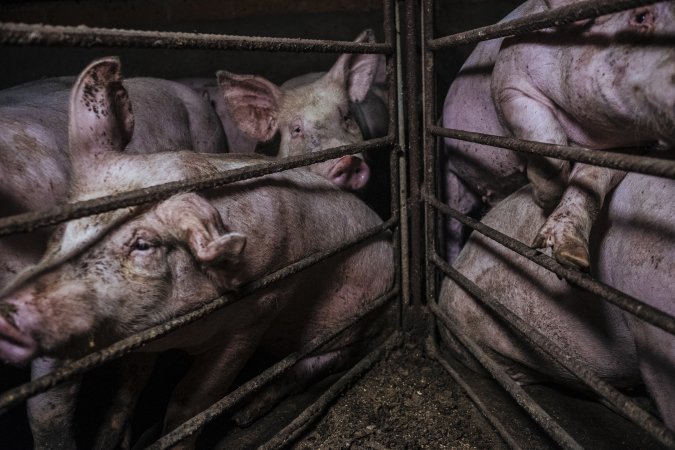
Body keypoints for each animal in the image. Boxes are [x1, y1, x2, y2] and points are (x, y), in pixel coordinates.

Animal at [0, 57, 394, 449]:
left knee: (308, 366)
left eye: (143, 245)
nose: (9, 310)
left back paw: (245, 413)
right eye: (62, 231)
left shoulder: (258, 311)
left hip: (354, 325)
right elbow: (130, 383)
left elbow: (189, 402)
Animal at [441, 0, 675, 267]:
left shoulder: (628, 148)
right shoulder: (508, 82)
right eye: (641, 17)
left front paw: (572, 258)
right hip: (451, 174)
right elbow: (546, 135)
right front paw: (545, 197)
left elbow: (591, 183)